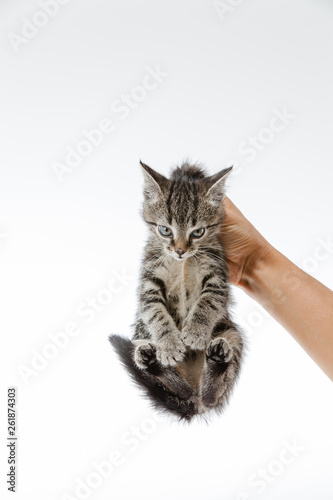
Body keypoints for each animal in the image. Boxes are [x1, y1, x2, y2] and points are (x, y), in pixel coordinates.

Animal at [109, 162, 244, 420]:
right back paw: (153, 361)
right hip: (141, 334)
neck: (182, 263)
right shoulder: (148, 283)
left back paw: (217, 360)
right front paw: (170, 345)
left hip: (230, 330)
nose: (180, 250)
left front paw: (195, 332)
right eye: (165, 230)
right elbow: (156, 313)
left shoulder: (218, 277)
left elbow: (207, 302)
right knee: (176, 388)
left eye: (198, 232)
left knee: (211, 396)